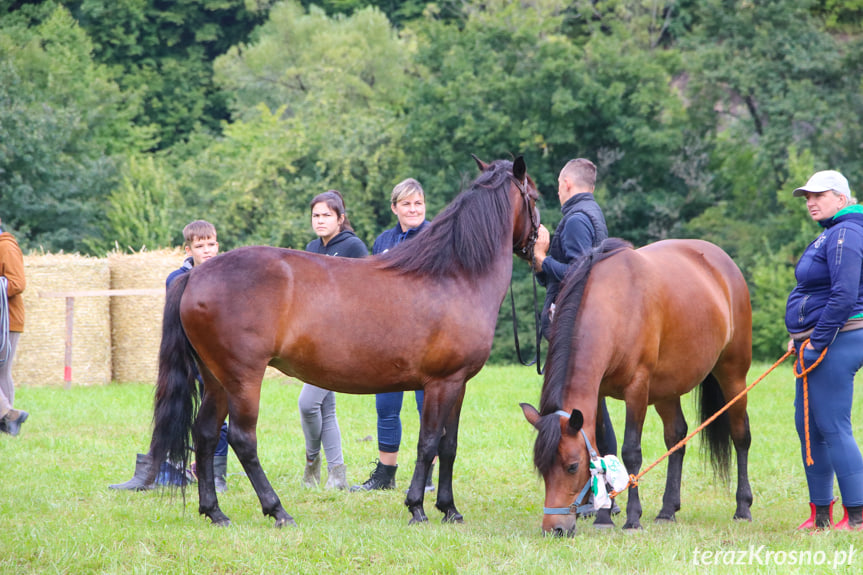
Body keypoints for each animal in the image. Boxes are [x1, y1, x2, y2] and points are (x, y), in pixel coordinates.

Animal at [149, 155, 540, 528]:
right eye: (535, 197)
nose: (538, 247)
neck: (454, 275)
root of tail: (197, 275)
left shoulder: (458, 385)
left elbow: (449, 445)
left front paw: (449, 509)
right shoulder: (441, 383)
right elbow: (428, 443)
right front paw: (417, 507)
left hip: (216, 380)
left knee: (205, 434)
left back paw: (215, 511)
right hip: (243, 379)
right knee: (243, 440)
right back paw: (278, 511)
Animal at [516, 237, 752, 536]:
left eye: (572, 467)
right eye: (542, 468)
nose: (554, 529)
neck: (614, 305)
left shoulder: (637, 389)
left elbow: (631, 452)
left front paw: (632, 518)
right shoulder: (599, 393)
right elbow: (603, 449)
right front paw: (603, 517)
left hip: (733, 375)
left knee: (740, 435)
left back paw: (743, 507)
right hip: (667, 389)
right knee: (676, 437)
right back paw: (667, 510)